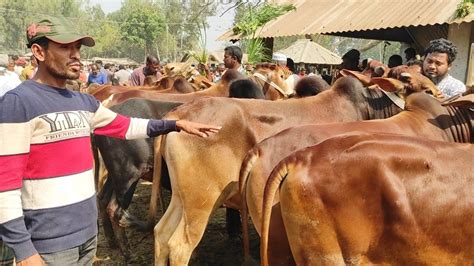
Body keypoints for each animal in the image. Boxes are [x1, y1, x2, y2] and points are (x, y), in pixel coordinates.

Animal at [149, 72, 440, 264]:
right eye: (426, 88)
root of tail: (179, 116)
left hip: (183, 198)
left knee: (162, 234)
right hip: (201, 200)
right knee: (179, 246)